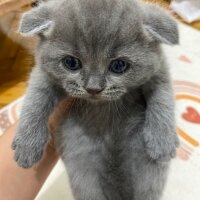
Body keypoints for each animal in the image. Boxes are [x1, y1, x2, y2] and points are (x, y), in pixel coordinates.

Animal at [12, 0, 178, 199]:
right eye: (71, 63)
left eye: (119, 65)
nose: (93, 88)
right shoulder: (44, 74)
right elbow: (35, 100)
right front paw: (27, 145)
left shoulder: (159, 70)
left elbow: (163, 98)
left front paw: (162, 142)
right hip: (84, 175)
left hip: (148, 177)